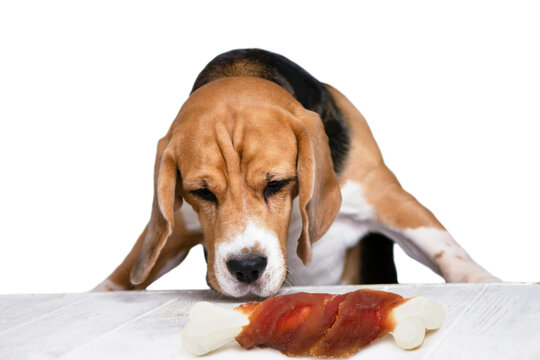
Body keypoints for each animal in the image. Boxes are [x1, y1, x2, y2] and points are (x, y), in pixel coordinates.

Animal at [95, 48, 500, 296]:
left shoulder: (384, 197)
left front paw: (486, 279)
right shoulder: (177, 225)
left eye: (278, 184)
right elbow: (128, 271)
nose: (246, 269)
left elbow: (446, 248)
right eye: (202, 192)